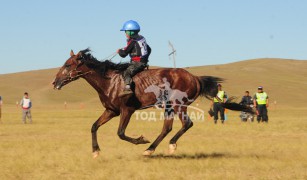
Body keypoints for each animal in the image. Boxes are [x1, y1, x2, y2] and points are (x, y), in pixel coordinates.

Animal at [53, 48, 254, 157]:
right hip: (169, 107)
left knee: (186, 124)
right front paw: (95, 151)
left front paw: (141, 139)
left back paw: (168, 146)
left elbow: (121, 133)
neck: (110, 81)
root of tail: (195, 77)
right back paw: (150, 150)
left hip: (178, 105)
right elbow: (94, 126)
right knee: (167, 128)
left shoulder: (127, 110)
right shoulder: (112, 111)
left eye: (68, 65)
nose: (55, 82)